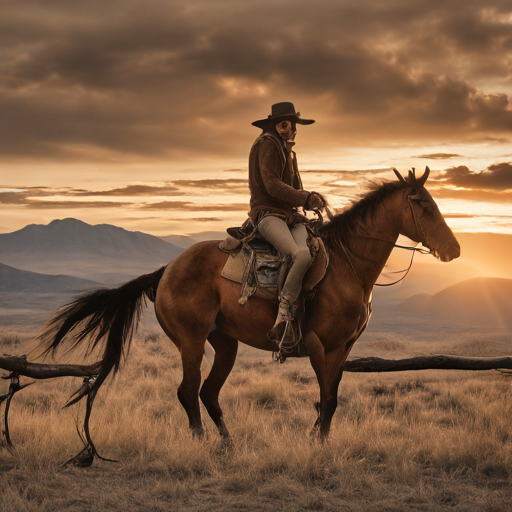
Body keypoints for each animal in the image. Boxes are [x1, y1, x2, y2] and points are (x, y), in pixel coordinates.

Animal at [40, 167, 460, 440]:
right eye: (424, 205)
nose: (454, 250)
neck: (347, 265)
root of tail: (166, 270)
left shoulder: (344, 347)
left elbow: (332, 398)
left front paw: (318, 439)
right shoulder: (319, 345)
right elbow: (326, 399)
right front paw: (318, 444)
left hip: (225, 344)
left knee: (208, 393)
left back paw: (228, 445)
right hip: (191, 342)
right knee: (188, 391)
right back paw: (201, 443)